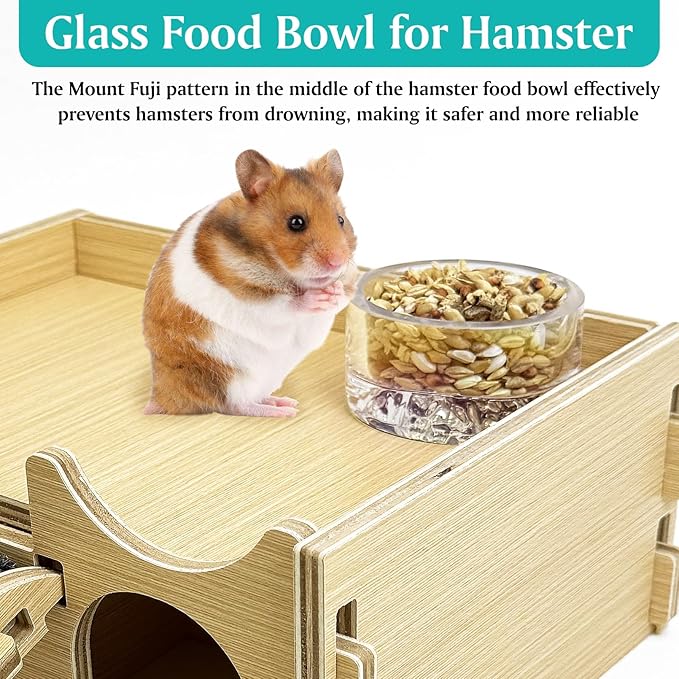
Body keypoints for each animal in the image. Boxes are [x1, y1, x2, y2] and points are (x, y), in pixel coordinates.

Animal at [142, 149, 358, 418]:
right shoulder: (252, 299)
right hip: (229, 377)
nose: (337, 261)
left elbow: (342, 296)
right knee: (235, 405)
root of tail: (161, 397)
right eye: (296, 222)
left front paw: (334, 291)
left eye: (341, 220)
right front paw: (316, 297)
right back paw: (284, 412)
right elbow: (284, 304)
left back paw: (284, 403)